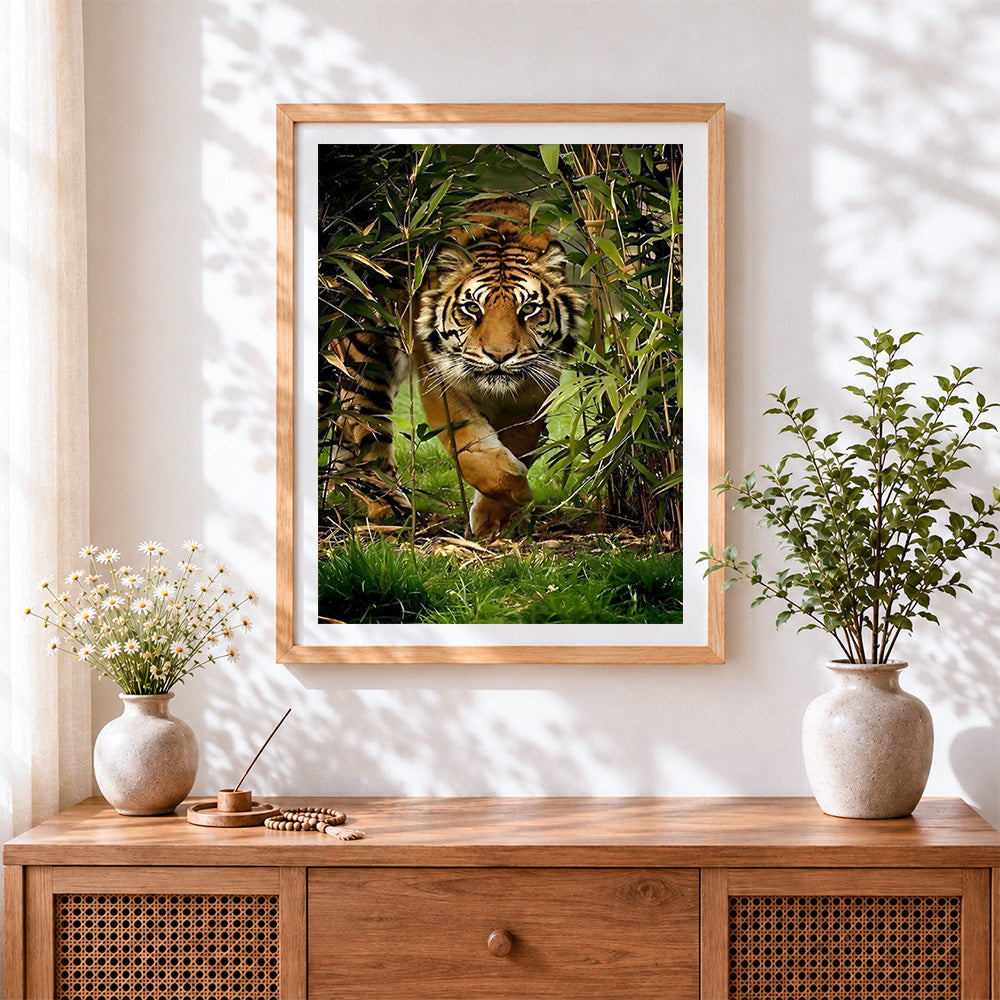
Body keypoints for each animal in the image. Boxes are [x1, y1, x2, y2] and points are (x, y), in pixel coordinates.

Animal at [321, 196, 586, 537]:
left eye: (528, 309)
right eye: (472, 308)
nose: (499, 355)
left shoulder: (535, 387)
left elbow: (519, 443)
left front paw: (498, 519)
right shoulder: (440, 379)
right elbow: (473, 450)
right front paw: (516, 495)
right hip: (364, 362)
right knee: (365, 435)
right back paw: (389, 509)